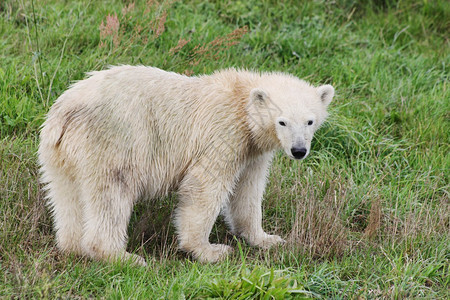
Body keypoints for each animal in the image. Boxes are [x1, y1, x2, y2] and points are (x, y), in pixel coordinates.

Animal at [38, 65, 334, 264]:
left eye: (309, 121)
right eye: (282, 121)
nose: (299, 150)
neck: (241, 99)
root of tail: (65, 114)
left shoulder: (252, 152)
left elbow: (247, 192)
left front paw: (267, 239)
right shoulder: (223, 133)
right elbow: (204, 186)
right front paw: (211, 251)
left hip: (60, 155)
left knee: (66, 195)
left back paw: (74, 246)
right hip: (113, 142)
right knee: (112, 193)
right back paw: (123, 257)